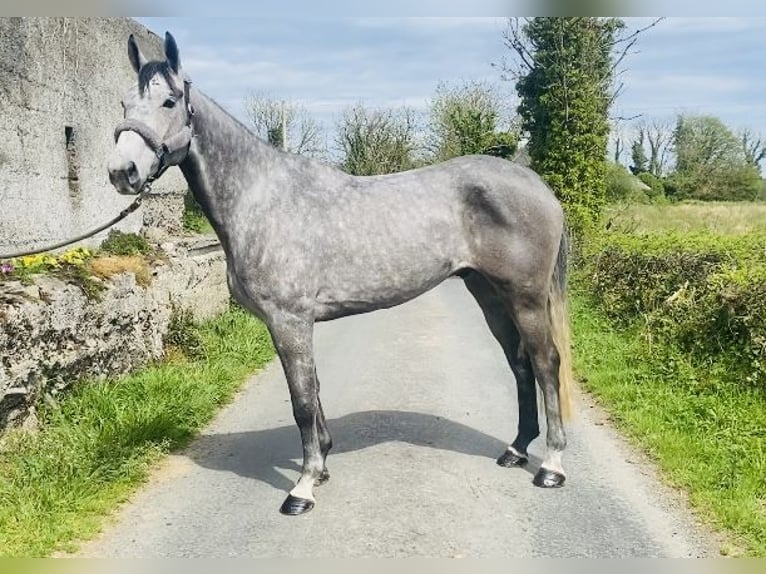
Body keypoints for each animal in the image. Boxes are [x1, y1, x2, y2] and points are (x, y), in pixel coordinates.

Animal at [108, 31, 576, 516]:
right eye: (124, 103)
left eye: (169, 101)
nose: (122, 172)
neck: (260, 199)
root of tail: (537, 186)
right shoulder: (293, 323)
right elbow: (312, 389)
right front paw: (322, 466)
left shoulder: (289, 320)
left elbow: (300, 401)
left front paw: (302, 487)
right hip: (489, 294)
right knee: (520, 363)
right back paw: (517, 449)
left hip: (525, 297)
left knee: (546, 363)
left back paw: (551, 466)